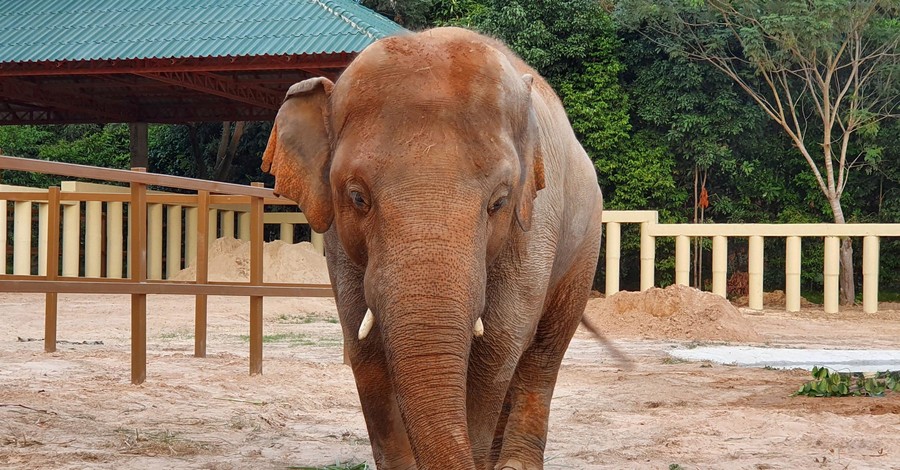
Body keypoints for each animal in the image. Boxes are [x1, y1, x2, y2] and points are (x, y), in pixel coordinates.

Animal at [262, 27, 604, 470]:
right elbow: (364, 346)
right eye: (357, 197)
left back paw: (513, 463)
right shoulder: (339, 239)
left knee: (544, 352)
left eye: (499, 202)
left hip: (584, 244)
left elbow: (497, 343)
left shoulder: (534, 224)